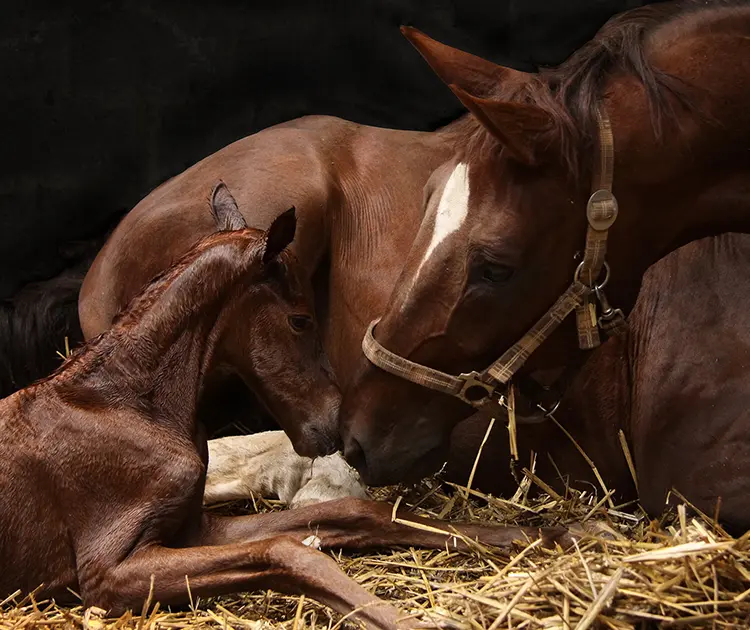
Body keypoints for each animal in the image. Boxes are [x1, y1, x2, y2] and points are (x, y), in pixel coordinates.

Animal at [0, 181, 564, 628]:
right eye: (300, 319)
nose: (336, 425)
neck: (123, 402)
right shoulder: (108, 572)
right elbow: (290, 551)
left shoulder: (194, 529)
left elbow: (358, 512)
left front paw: (553, 531)